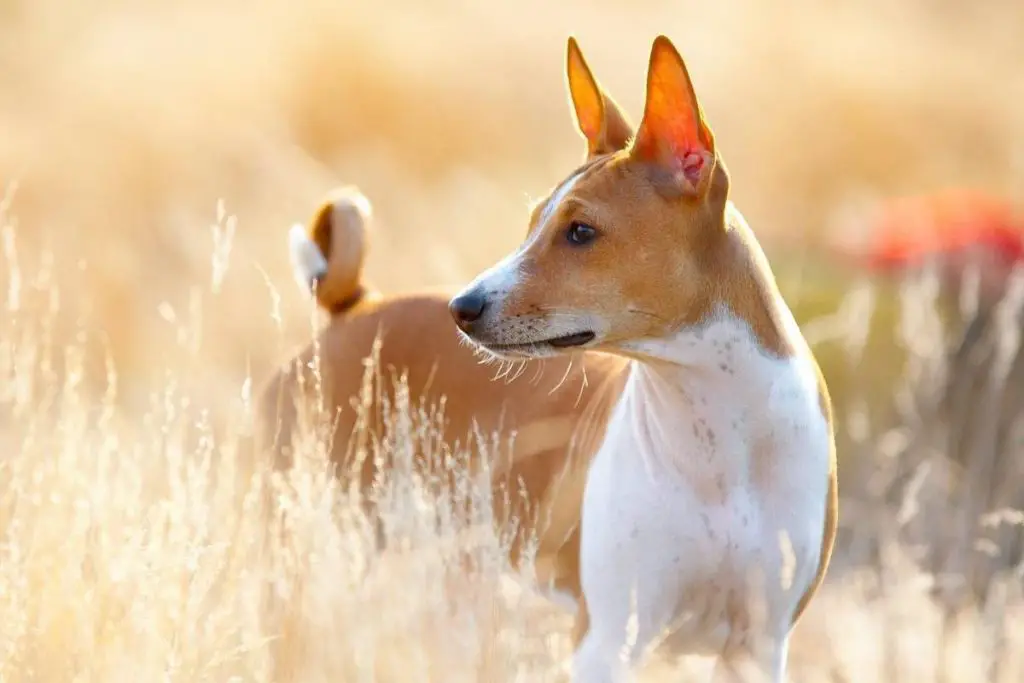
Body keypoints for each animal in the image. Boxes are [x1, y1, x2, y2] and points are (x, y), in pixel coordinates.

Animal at [452, 37, 835, 683]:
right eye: (532, 224)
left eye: (581, 232)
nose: (461, 306)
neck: (717, 441)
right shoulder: (607, 639)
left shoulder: (758, 646)